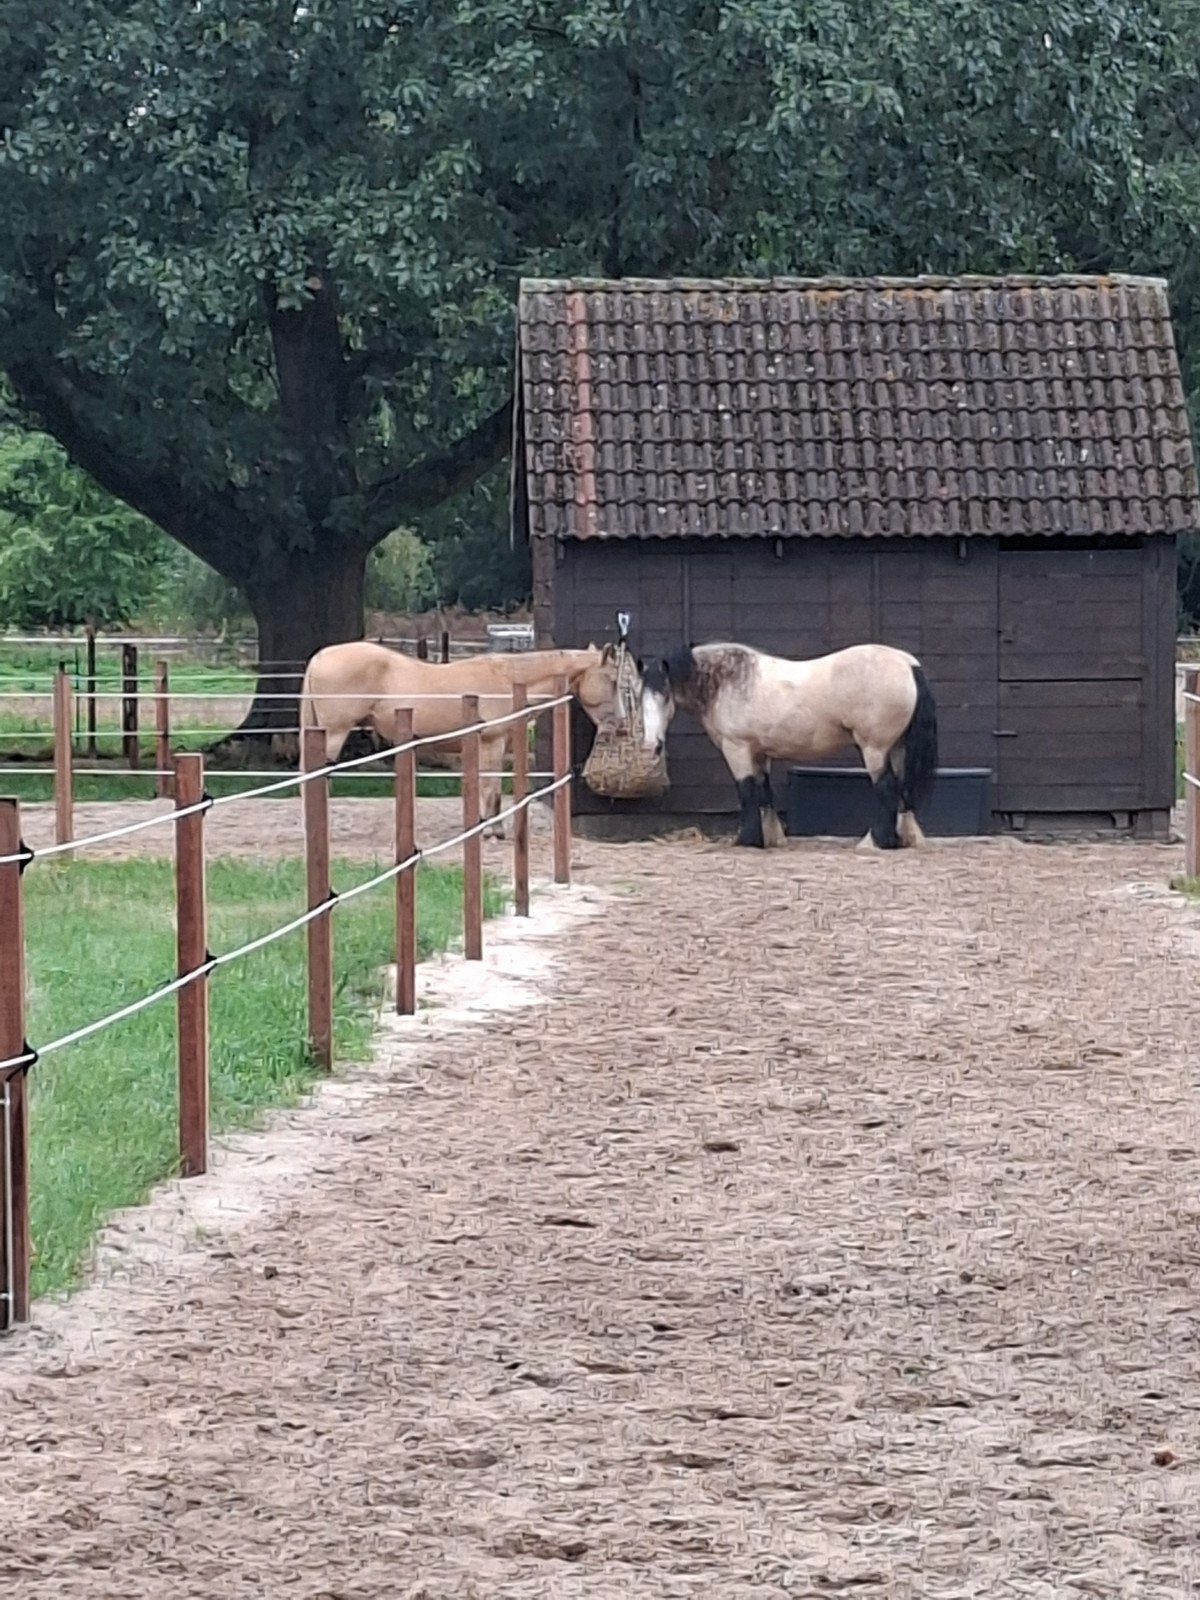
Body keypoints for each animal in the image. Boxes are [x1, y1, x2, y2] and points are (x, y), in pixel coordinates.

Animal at [299, 640, 627, 836]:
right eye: (612, 681)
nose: (621, 726)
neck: (507, 679)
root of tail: (320, 657)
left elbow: (490, 787)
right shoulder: (492, 743)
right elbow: (490, 786)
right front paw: (491, 831)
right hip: (334, 734)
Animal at [638, 641, 938, 851]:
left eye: (664, 695)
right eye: (640, 697)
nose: (652, 746)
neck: (727, 680)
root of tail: (907, 663)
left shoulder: (737, 749)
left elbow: (746, 791)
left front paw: (747, 839)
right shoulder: (758, 753)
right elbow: (764, 793)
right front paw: (771, 838)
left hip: (874, 748)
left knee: (886, 789)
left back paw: (875, 842)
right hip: (897, 748)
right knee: (902, 789)